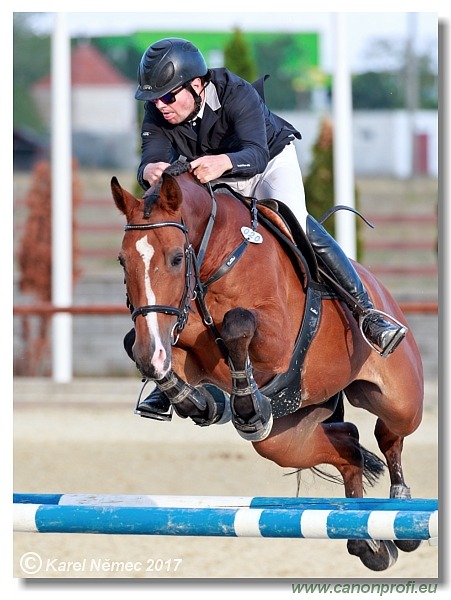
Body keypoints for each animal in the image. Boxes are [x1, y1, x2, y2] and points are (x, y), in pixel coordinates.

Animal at [111, 161, 426, 572]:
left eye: (177, 258)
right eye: (123, 260)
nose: (153, 352)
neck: (216, 258)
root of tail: (382, 292)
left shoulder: (277, 341)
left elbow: (237, 324)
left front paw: (245, 407)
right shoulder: (177, 339)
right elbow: (147, 351)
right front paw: (197, 403)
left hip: (399, 400)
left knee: (389, 435)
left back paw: (401, 514)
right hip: (287, 436)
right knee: (348, 445)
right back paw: (367, 540)